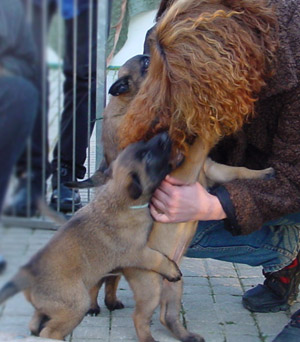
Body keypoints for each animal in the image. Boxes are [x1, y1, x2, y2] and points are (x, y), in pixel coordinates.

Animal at [0, 133, 182, 340]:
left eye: (144, 145)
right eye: (147, 157)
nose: (164, 135)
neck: (121, 199)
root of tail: (27, 272)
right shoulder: (138, 252)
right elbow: (158, 258)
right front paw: (172, 270)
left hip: (52, 306)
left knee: (36, 322)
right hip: (76, 303)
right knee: (49, 331)